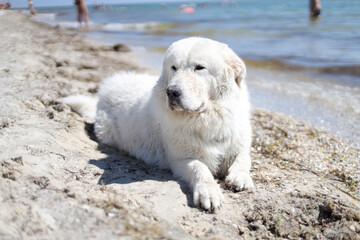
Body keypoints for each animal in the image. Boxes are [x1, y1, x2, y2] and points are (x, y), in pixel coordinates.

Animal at [61, 37, 253, 212]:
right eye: (173, 67)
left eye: (199, 67)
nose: (172, 92)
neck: (207, 118)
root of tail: (103, 93)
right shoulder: (179, 159)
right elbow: (200, 168)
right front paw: (209, 192)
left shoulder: (238, 144)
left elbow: (244, 157)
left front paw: (240, 177)